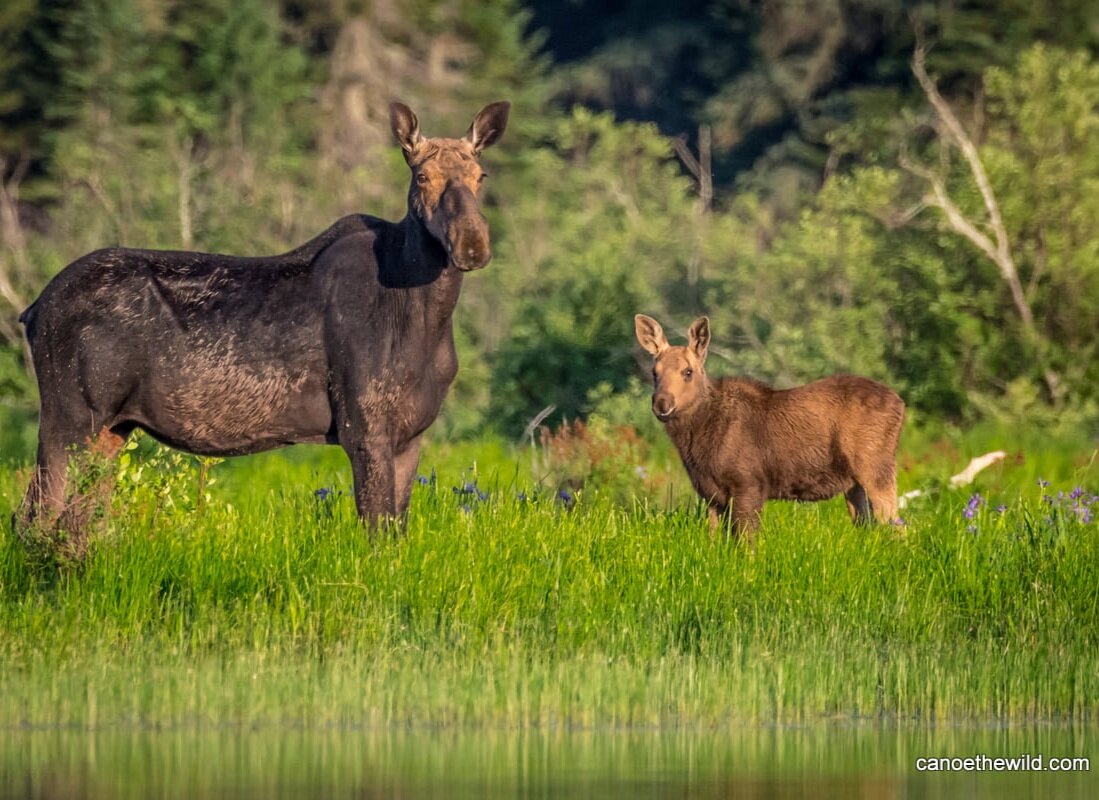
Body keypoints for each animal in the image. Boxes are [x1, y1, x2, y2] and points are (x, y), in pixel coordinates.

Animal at [20, 100, 509, 547]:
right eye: (421, 176)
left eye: (481, 177)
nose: (472, 243)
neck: (427, 316)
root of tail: (33, 309)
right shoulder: (363, 429)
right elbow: (376, 533)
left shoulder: (410, 436)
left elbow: (396, 533)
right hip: (70, 415)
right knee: (35, 516)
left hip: (111, 427)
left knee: (78, 521)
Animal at [633, 312, 905, 538]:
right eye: (654, 372)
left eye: (688, 372)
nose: (662, 404)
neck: (697, 441)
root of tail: (901, 404)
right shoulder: (711, 494)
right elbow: (713, 539)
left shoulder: (748, 484)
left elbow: (747, 541)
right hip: (854, 484)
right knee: (869, 524)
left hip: (875, 467)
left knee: (896, 523)